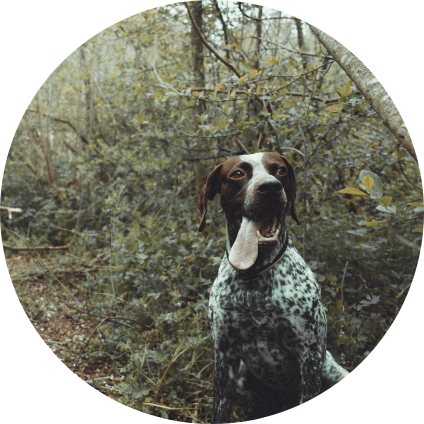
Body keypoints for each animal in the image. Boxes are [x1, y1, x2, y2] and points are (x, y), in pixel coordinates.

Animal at [197, 151, 350, 422]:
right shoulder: (224, 355)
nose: (270, 187)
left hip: (331, 370)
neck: (254, 278)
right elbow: (220, 409)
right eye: (238, 173)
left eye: (279, 170)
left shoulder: (310, 356)